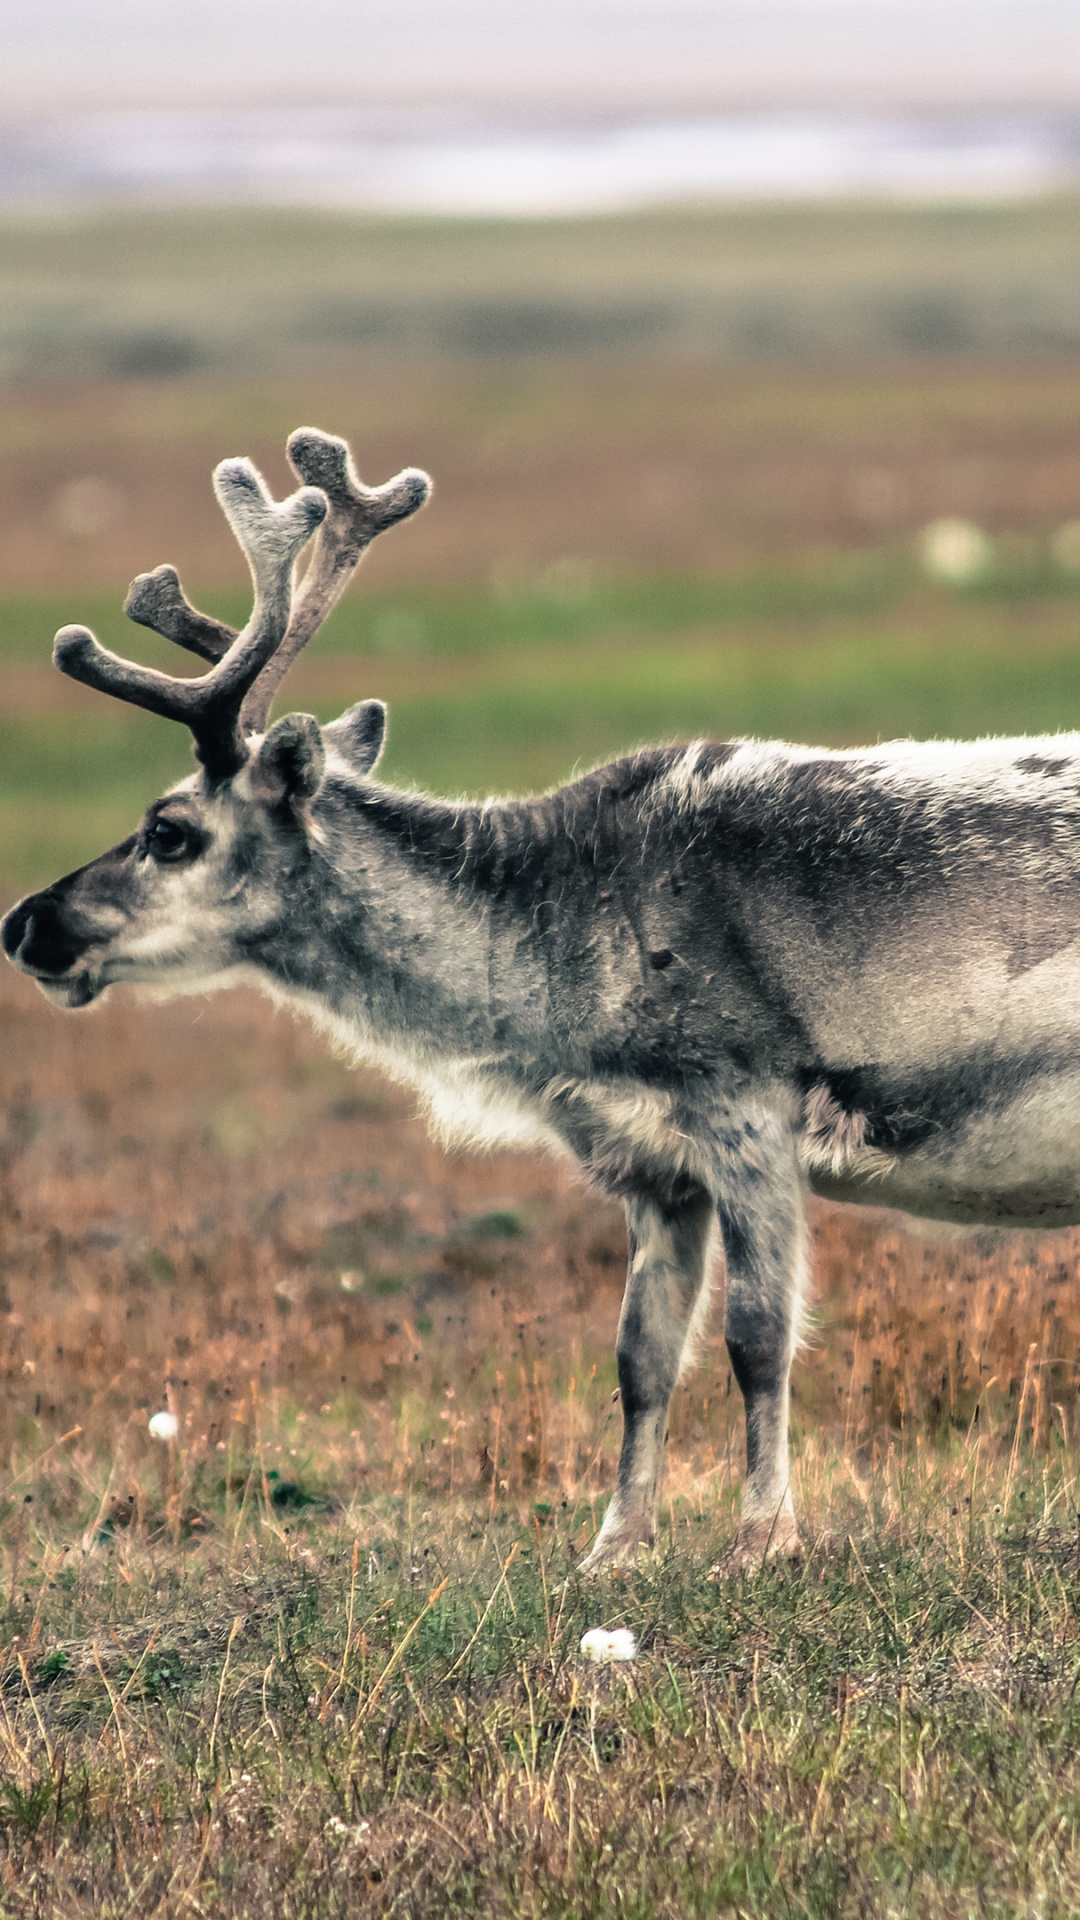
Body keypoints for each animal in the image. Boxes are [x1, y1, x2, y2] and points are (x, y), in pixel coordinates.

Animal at [6, 425, 1080, 1576]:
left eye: (168, 831)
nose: (25, 923)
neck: (554, 961)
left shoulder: (745, 1102)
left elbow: (756, 1335)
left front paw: (761, 1540)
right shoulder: (653, 1166)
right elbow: (641, 1355)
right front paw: (611, 1551)